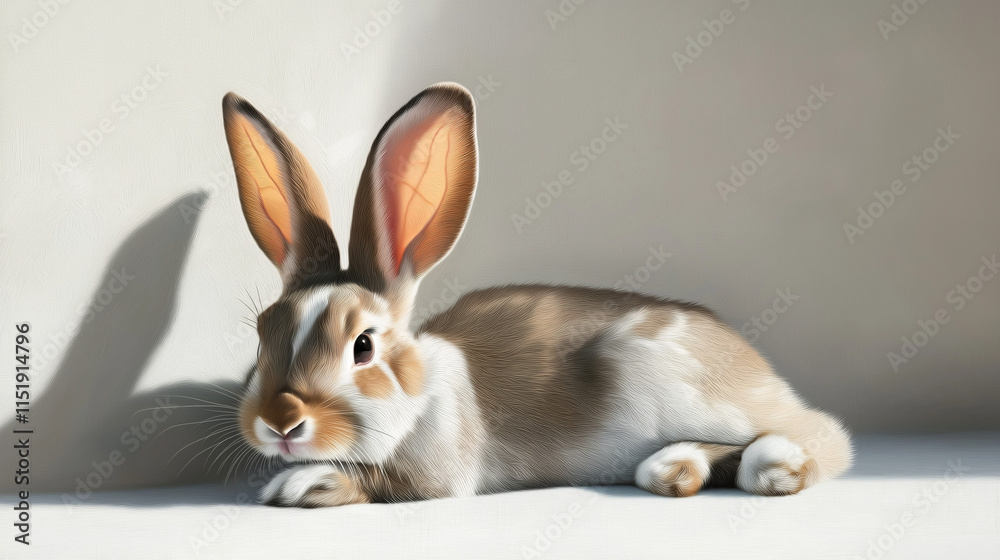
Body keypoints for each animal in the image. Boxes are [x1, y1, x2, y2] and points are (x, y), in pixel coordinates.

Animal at [221, 83, 852, 508]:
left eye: (364, 346)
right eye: (262, 334)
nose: (280, 422)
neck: (419, 392)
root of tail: (759, 371)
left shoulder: (437, 476)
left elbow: (383, 482)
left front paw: (303, 482)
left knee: (822, 433)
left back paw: (770, 468)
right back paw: (674, 470)